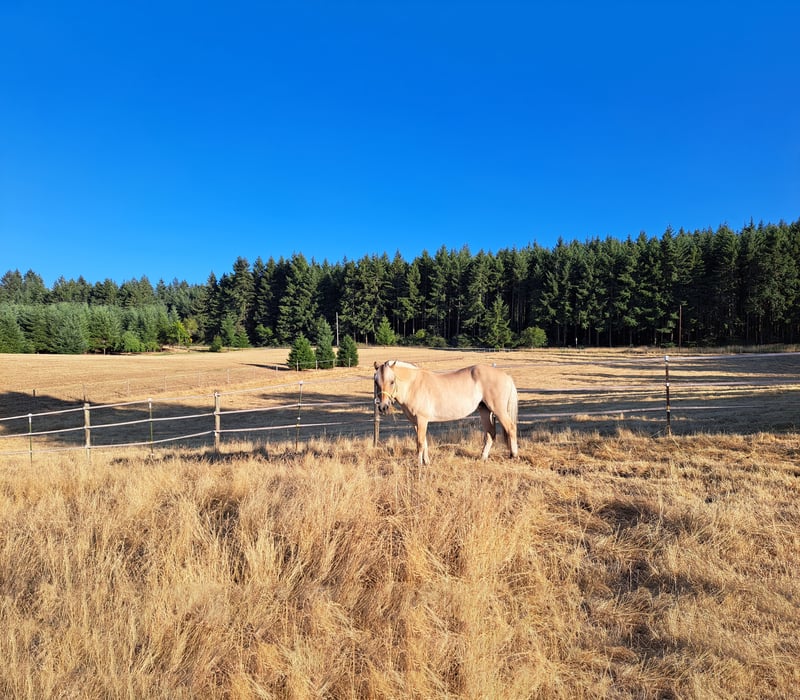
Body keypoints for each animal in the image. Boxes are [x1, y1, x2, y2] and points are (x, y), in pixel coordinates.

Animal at [373, 360, 519, 466]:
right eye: (376, 381)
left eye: (392, 381)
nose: (383, 407)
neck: (414, 385)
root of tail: (506, 376)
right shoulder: (416, 422)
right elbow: (424, 442)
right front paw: (427, 462)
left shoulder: (422, 420)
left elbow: (419, 443)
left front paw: (419, 464)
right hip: (485, 410)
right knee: (490, 434)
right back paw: (483, 458)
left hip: (499, 410)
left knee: (511, 428)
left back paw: (514, 455)